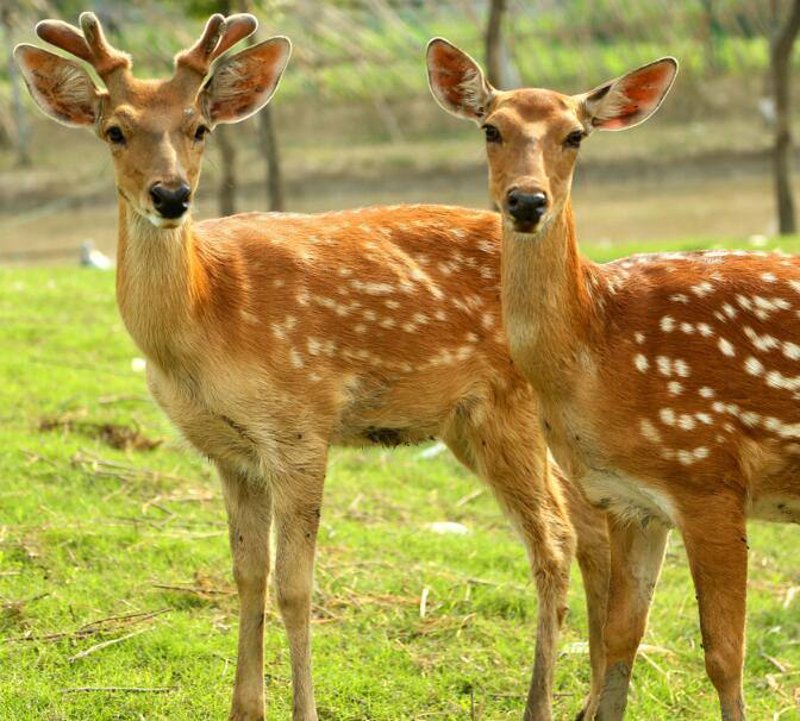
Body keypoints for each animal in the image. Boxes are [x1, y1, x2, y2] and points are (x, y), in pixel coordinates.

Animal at [14, 13, 611, 721]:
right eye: (115, 130)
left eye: (199, 127)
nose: (171, 195)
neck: (204, 318)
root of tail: (588, 279)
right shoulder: (230, 450)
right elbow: (248, 574)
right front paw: (244, 708)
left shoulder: (300, 422)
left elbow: (295, 585)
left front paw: (301, 709)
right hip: (478, 424)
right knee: (590, 523)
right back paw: (594, 696)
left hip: (509, 408)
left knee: (555, 538)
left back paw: (543, 703)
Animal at [426, 37, 800, 721]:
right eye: (491, 128)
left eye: (575, 135)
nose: (526, 201)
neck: (598, 355)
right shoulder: (630, 501)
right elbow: (625, 633)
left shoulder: (709, 475)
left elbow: (723, 655)